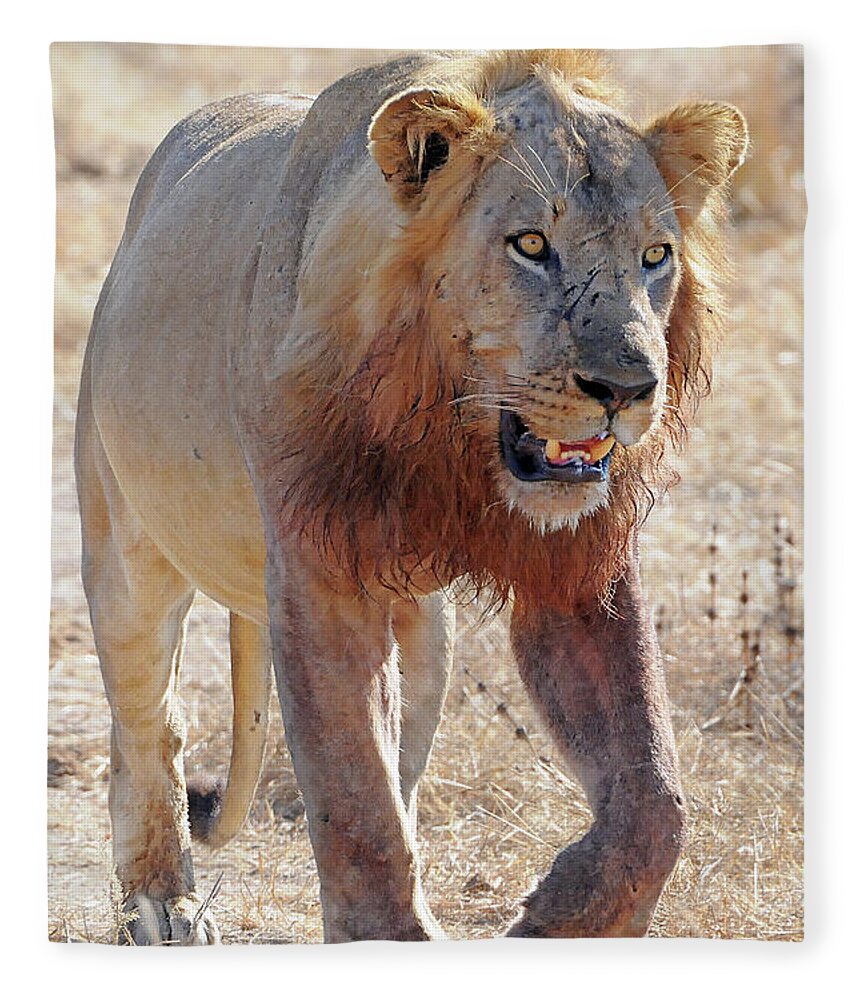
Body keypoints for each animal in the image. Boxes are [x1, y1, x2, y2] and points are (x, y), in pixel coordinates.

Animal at [74, 50, 744, 940]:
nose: (628, 387)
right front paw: (386, 935)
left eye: (656, 255)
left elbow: (654, 796)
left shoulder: (577, 567)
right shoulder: (320, 571)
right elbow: (356, 799)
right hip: (125, 544)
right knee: (150, 726)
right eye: (531, 244)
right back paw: (159, 900)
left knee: (408, 748)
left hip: (426, 628)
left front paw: (561, 919)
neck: (449, 436)